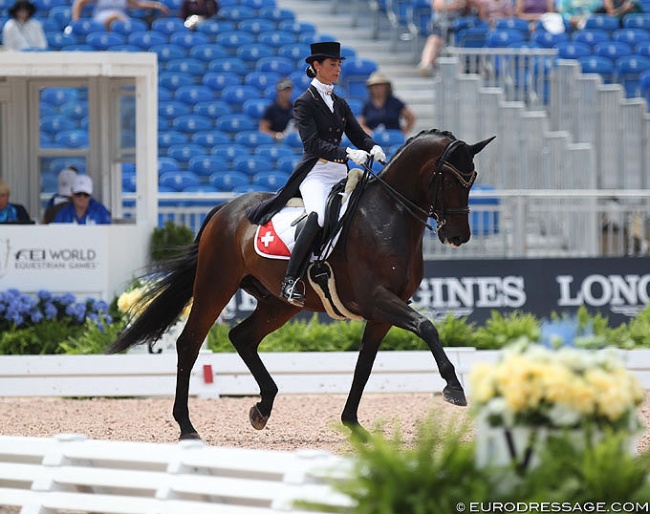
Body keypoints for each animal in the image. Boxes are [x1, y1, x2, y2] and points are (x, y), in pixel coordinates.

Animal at [107, 128, 492, 436]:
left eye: (472, 179)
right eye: (451, 179)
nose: (458, 236)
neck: (389, 216)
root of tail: (225, 209)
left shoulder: (382, 313)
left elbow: (365, 365)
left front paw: (353, 425)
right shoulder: (377, 299)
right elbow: (426, 327)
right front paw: (454, 388)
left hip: (279, 303)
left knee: (242, 336)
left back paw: (262, 408)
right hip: (215, 285)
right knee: (189, 343)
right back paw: (187, 427)